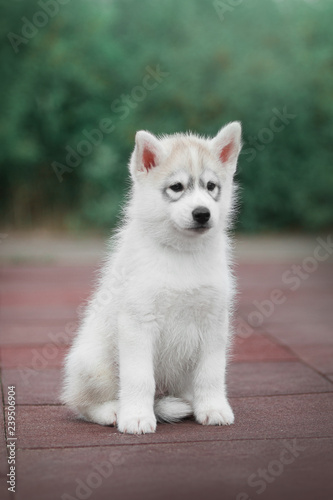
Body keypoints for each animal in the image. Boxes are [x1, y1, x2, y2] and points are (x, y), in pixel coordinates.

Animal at [61, 121, 240, 434]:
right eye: (177, 187)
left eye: (211, 187)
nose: (202, 213)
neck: (182, 254)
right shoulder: (138, 322)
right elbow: (139, 378)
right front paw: (136, 418)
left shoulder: (214, 321)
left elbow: (211, 373)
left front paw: (214, 408)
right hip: (93, 362)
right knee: (82, 403)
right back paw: (112, 411)